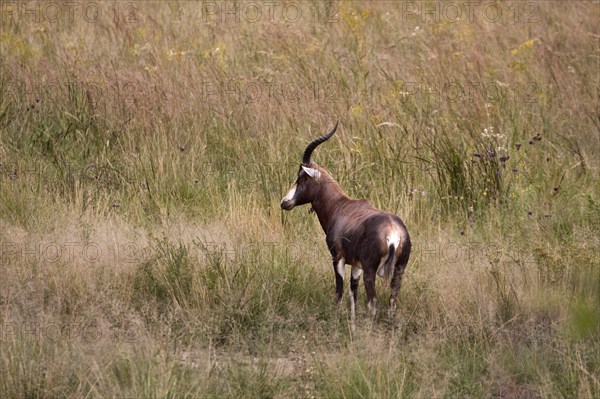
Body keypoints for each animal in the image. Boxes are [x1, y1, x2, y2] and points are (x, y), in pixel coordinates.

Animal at [282, 122, 412, 322]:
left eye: (301, 177)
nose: (285, 202)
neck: (341, 205)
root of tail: (394, 233)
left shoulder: (338, 258)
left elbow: (339, 291)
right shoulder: (356, 265)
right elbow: (353, 294)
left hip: (370, 271)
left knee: (373, 303)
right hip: (399, 271)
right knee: (392, 302)